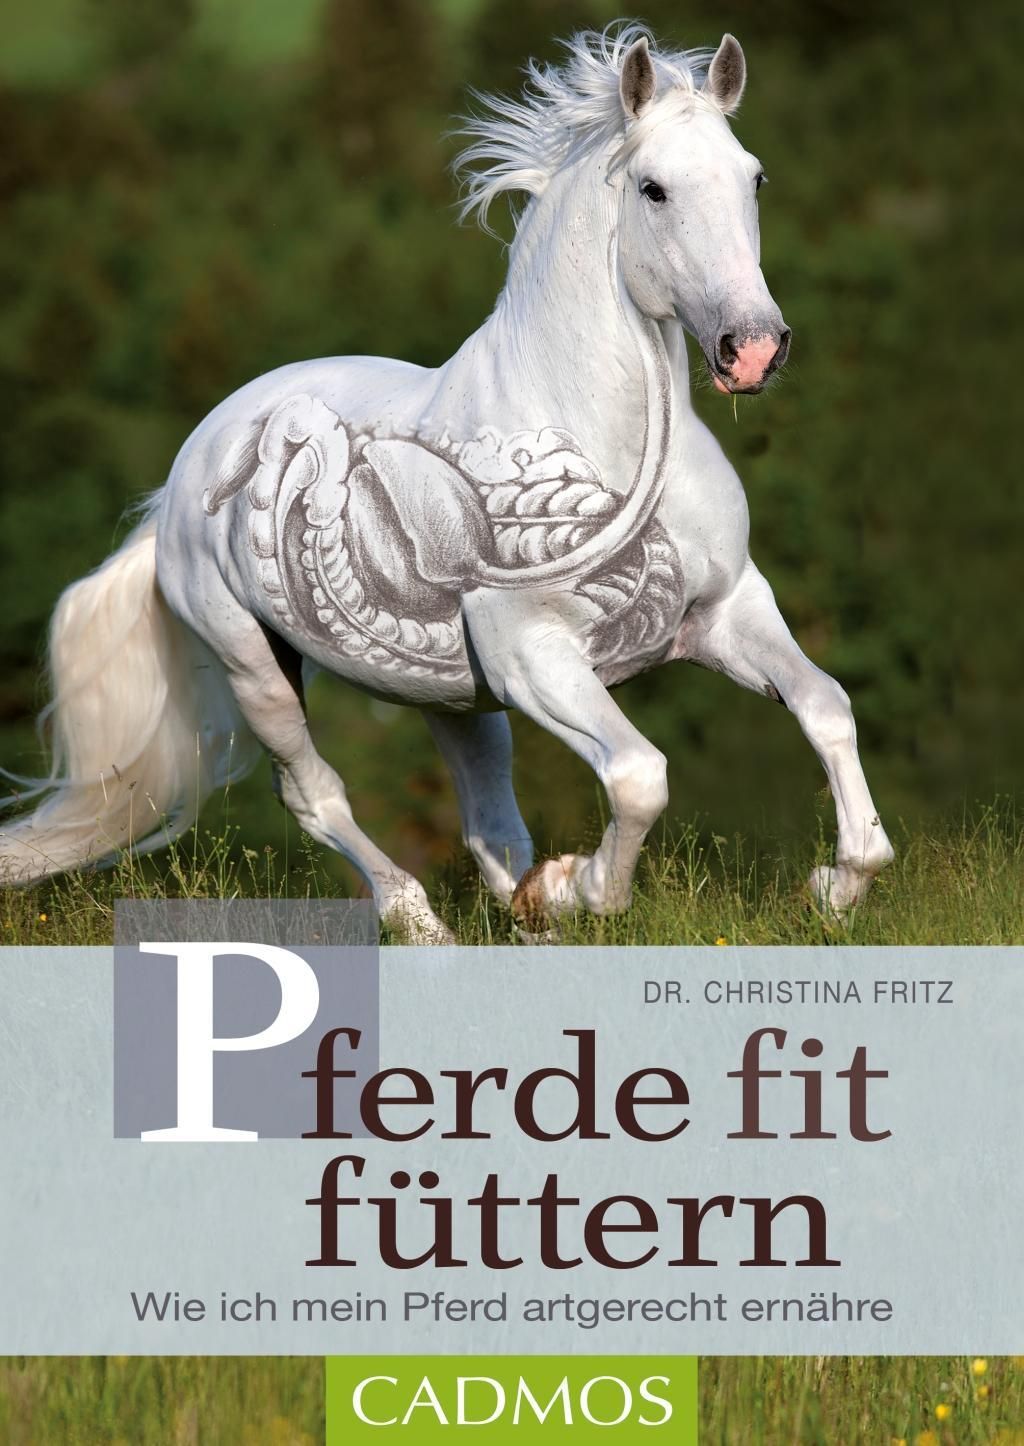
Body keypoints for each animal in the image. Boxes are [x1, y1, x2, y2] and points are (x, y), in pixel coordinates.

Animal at [0, 26, 894, 941]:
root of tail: (183, 480)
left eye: (754, 177)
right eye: (654, 188)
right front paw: (575, 888)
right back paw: (424, 924)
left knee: (488, 822)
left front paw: (834, 887)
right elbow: (640, 776)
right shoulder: (534, 655)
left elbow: (826, 707)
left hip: (451, 700)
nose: (753, 349)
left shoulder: (726, 609)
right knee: (315, 795)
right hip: (255, 665)